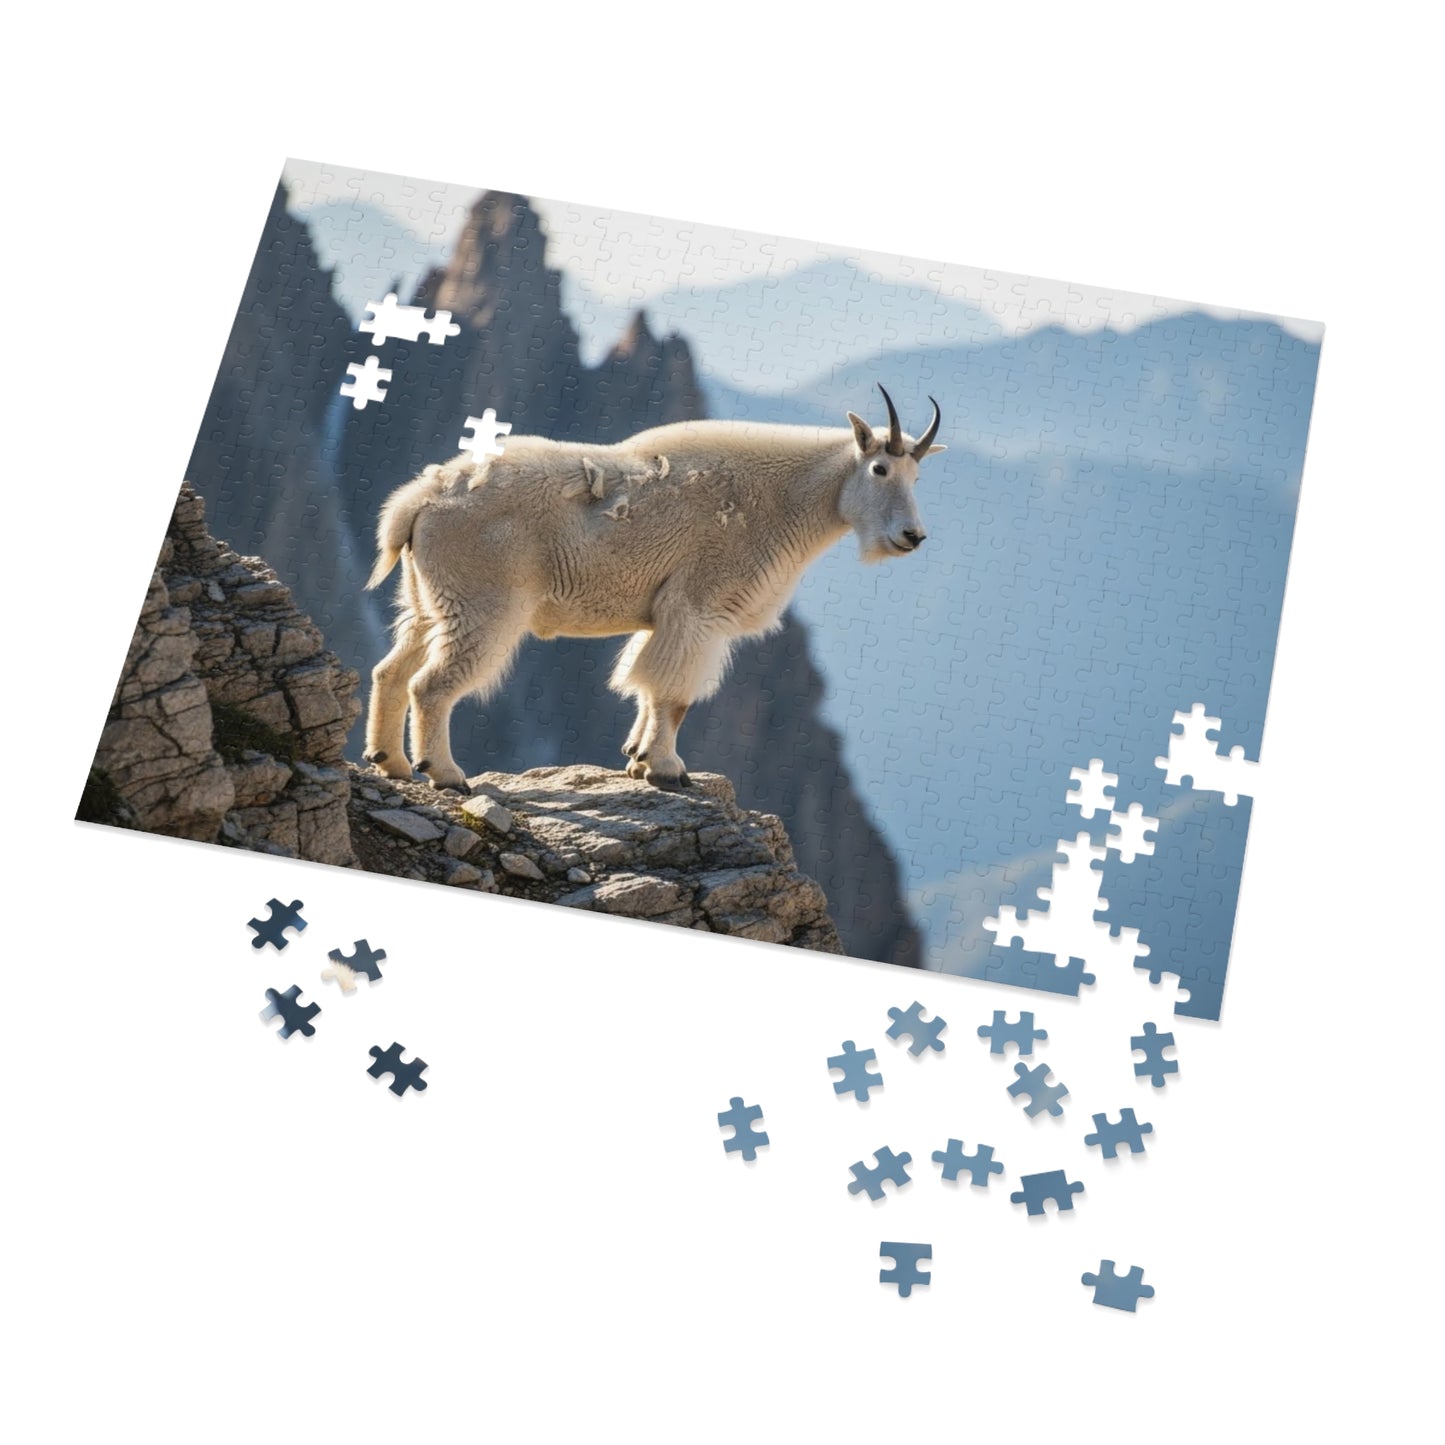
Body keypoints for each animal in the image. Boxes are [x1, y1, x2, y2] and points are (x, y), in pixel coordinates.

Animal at [363, 385, 944, 791]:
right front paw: (667, 769)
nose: (912, 536)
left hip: (428, 601)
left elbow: (646, 683)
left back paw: (391, 763)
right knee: (431, 684)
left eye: (917, 478)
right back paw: (445, 773)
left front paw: (636, 759)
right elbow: (674, 693)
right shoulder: (700, 606)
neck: (784, 499)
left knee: (391, 670)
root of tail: (419, 499)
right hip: (481, 603)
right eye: (879, 468)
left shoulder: (665, 613)